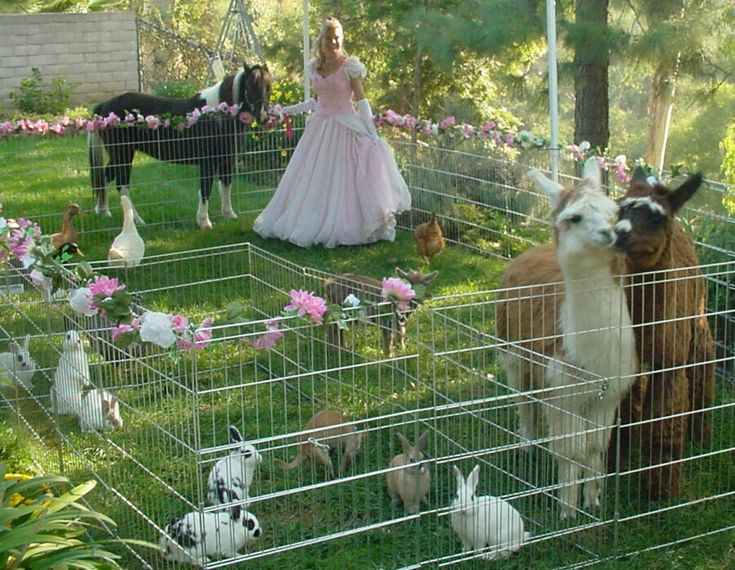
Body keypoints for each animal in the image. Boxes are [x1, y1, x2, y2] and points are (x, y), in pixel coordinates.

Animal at [89, 63, 274, 229]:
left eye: (269, 87)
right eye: (249, 86)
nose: (263, 116)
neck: (217, 117)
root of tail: (105, 106)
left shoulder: (227, 160)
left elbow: (226, 186)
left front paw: (229, 215)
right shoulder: (208, 162)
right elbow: (205, 189)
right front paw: (204, 222)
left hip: (120, 155)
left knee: (104, 177)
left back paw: (103, 212)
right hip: (123, 155)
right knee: (122, 186)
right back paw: (137, 221)